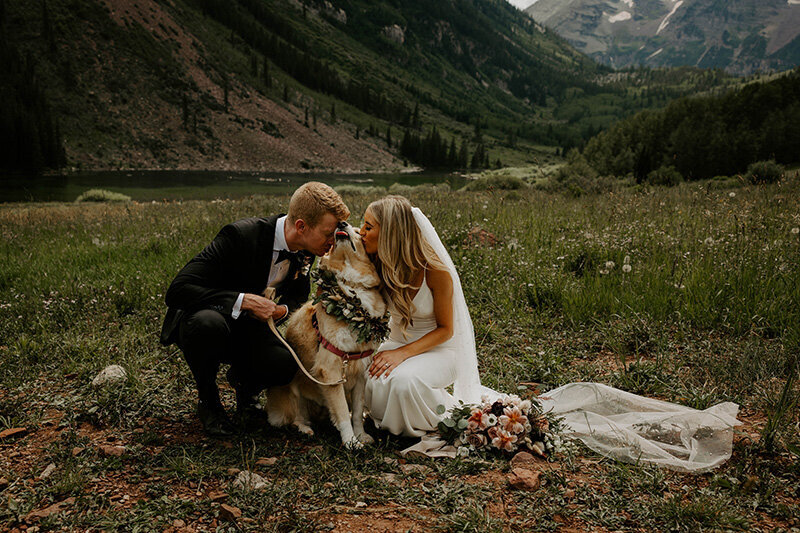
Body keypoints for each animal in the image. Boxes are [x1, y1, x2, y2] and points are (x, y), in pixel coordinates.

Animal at [268, 221, 390, 448]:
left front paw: (360, 435)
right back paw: (305, 428)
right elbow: (341, 412)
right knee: (295, 416)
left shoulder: (361, 371)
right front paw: (350, 442)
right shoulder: (331, 372)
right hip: (292, 392)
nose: (342, 223)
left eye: (360, 232)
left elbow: (356, 411)